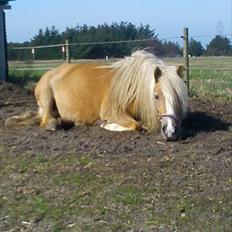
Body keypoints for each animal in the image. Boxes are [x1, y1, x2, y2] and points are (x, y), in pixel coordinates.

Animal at [5, 51, 188, 140]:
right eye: (156, 96)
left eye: (178, 97)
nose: (170, 131)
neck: (132, 87)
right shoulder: (112, 112)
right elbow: (135, 125)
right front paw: (105, 125)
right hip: (47, 96)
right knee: (46, 120)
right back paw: (54, 124)